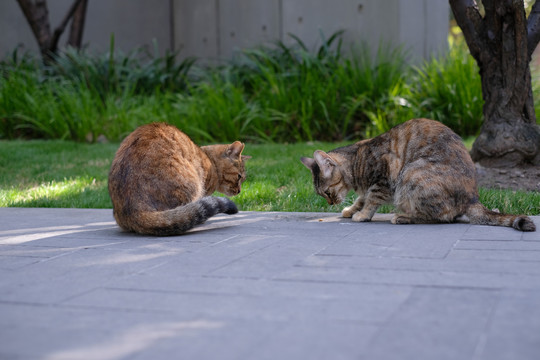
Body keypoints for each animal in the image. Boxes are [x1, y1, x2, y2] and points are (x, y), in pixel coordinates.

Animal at [302, 118, 532, 231]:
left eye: (327, 192)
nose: (330, 203)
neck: (357, 160)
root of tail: (472, 197)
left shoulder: (383, 179)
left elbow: (371, 200)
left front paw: (362, 214)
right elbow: (361, 198)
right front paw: (351, 209)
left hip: (412, 174)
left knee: (442, 218)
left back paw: (403, 217)